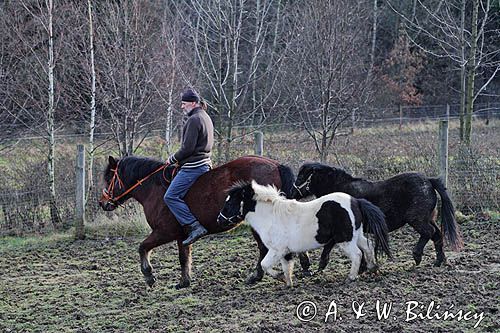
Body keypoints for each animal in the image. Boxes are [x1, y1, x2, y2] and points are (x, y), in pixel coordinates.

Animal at [98, 154, 304, 286]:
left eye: (109, 178)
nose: (102, 203)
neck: (155, 189)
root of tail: (275, 165)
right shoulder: (182, 235)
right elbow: (184, 257)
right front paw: (184, 282)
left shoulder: (164, 232)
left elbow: (142, 247)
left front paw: (149, 275)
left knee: (265, 248)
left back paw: (258, 276)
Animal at [219, 180, 390, 286]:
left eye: (230, 203)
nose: (219, 220)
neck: (270, 216)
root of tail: (356, 201)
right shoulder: (285, 252)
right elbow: (287, 266)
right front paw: (288, 283)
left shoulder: (276, 250)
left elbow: (265, 264)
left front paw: (280, 278)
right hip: (356, 235)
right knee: (368, 246)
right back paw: (373, 268)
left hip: (345, 239)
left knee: (357, 254)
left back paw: (351, 277)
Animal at [292, 163, 462, 270]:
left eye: (301, 177)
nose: (292, 192)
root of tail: (429, 181)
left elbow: (329, 245)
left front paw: (322, 264)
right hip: (428, 218)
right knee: (437, 235)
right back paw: (439, 261)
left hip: (417, 220)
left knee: (428, 233)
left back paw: (417, 256)